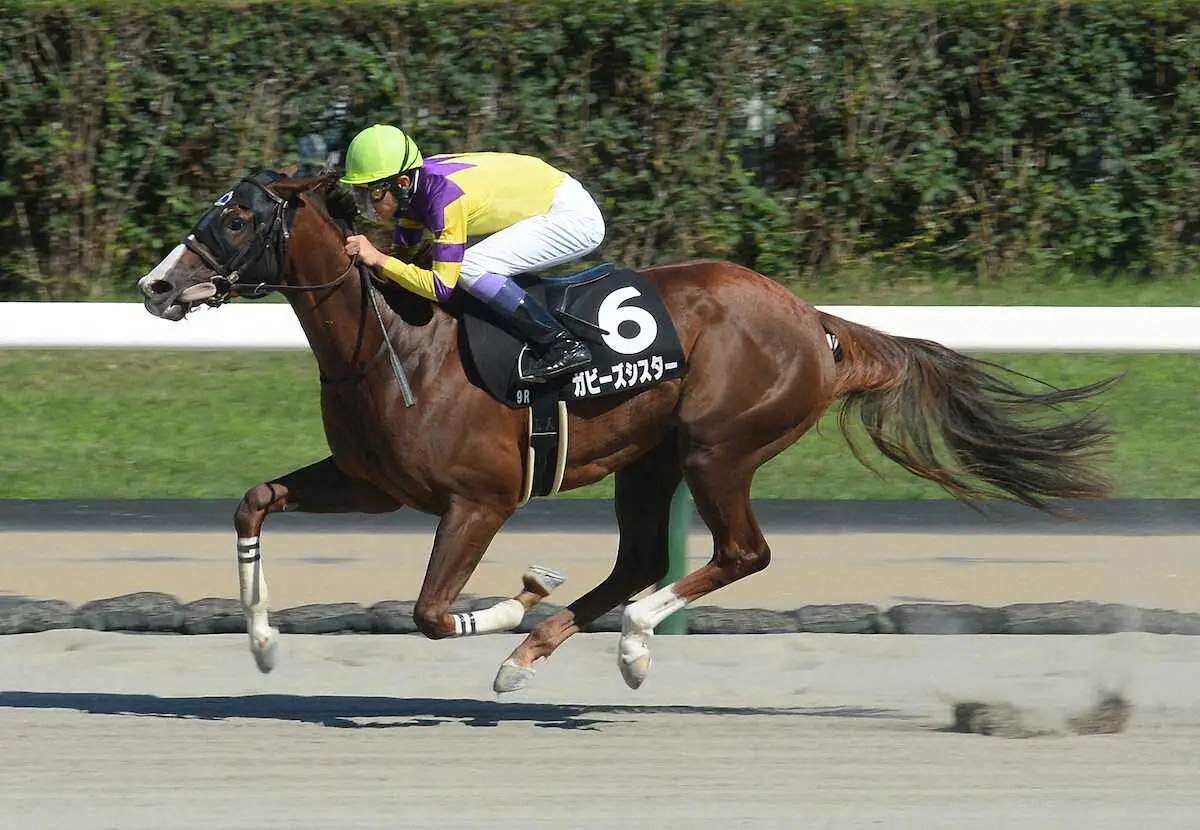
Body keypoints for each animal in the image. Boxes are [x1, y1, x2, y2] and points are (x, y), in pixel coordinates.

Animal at [138, 169, 1113, 695]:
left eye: (235, 216)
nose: (156, 285)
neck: (395, 343)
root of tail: (815, 321)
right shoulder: (375, 486)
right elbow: (253, 503)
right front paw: (263, 643)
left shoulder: (479, 500)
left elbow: (430, 613)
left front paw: (519, 593)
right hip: (651, 460)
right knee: (643, 557)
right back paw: (532, 657)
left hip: (721, 448)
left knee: (738, 554)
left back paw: (633, 642)